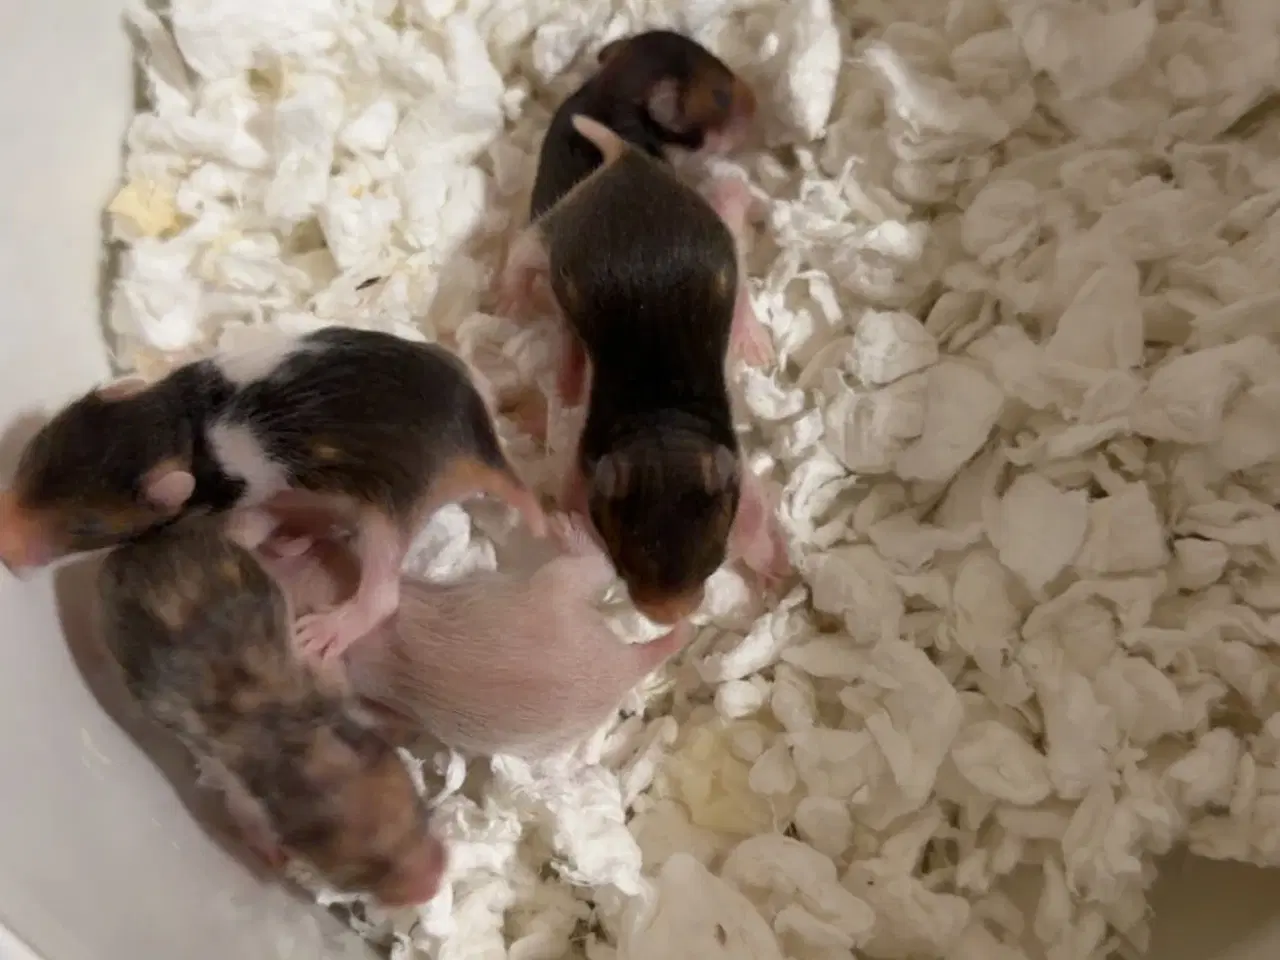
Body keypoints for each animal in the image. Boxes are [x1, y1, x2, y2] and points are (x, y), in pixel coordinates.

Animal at [0, 326, 546, 659]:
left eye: (86, 526)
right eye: (33, 453)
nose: (7, 546)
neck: (184, 425)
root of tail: (479, 441)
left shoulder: (256, 493)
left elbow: (245, 526)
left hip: (389, 504)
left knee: (382, 590)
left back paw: (332, 623)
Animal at [96, 519, 445, 907]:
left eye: (417, 813)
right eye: (358, 877)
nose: (433, 882)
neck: (293, 739)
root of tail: (135, 546)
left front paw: (409, 728)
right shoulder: (231, 777)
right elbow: (244, 812)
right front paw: (273, 855)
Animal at [497, 116, 789, 625]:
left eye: (712, 565)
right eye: (624, 566)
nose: (668, 617)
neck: (662, 421)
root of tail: (629, 162)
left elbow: (753, 511)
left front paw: (774, 569)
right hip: (560, 228)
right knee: (524, 250)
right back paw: (513, 300)